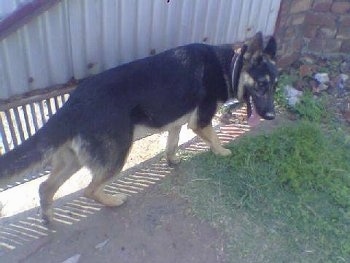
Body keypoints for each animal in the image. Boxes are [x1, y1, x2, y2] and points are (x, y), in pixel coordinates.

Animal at [0, 32, 278, 224]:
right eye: (261, 85)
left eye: (275, 85)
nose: (272, 116)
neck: (228, 66)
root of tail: (73, 104)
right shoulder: (200, 122)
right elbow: (216, 138)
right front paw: (222, 152)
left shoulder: (177, 123)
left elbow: (172, 144)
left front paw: (172, 160)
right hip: (115, 157)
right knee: (90, 189)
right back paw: (113, 201)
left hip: (73, 161)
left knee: (45, 187)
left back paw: (48, 217)